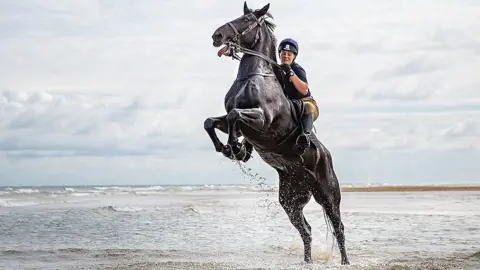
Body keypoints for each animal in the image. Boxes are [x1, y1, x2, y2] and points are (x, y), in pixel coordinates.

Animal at [204, 1, 350, 264]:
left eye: (246, 20)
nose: (216, 36)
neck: (253, 76)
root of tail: (326, 155)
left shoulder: (262, 120)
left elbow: (234, 116)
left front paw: (234, 147)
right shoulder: (234, 119)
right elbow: (211, 121)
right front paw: (230, 149)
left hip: (328, 193)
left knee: (338, 226)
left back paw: (345, 262)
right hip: (291, 199)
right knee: (306, 229)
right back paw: (307, 260)